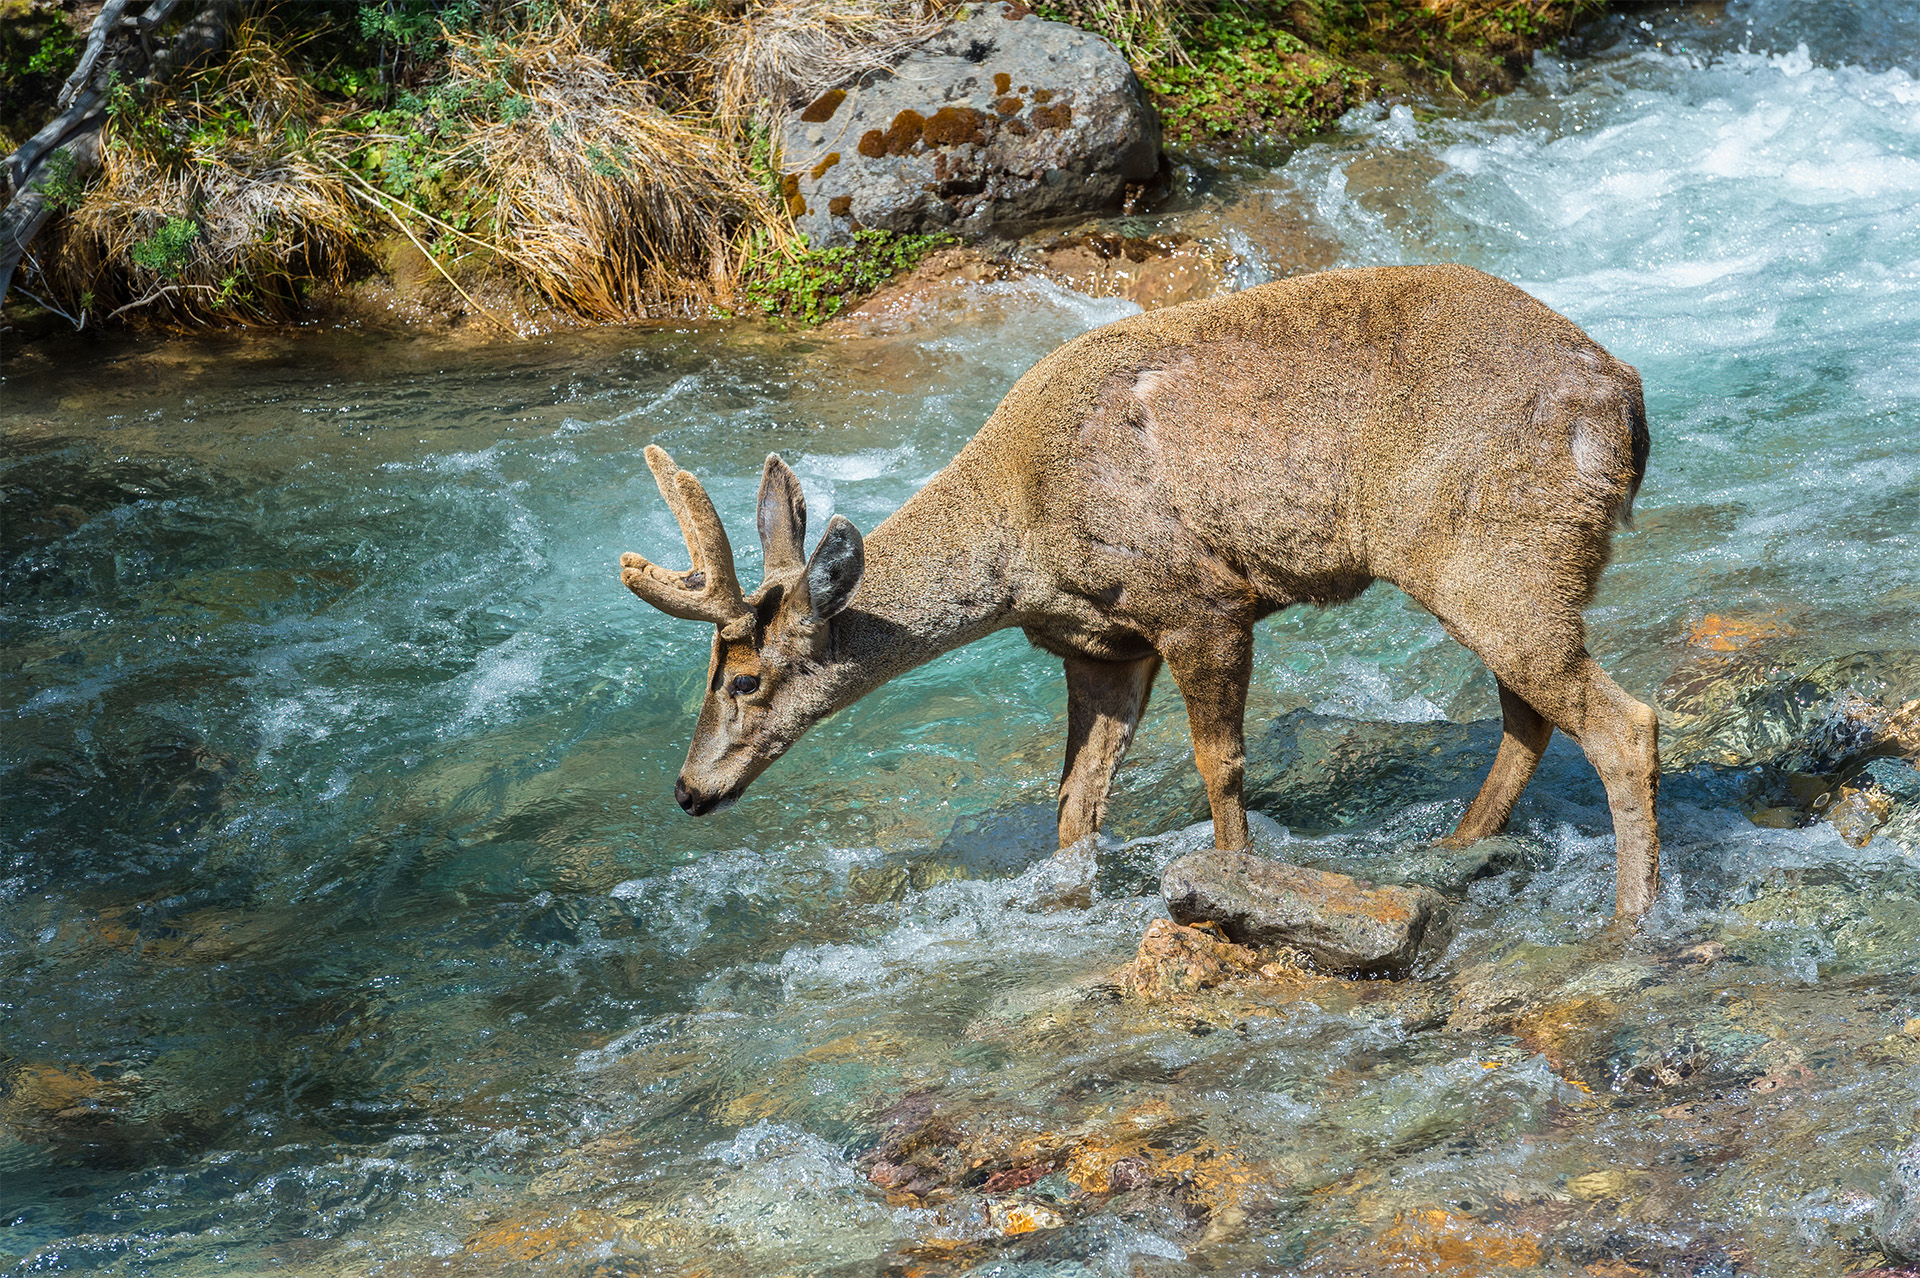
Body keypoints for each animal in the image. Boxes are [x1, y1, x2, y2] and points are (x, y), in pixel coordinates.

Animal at [620, 264, 1661, 917]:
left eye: (744, 680)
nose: (685, 789)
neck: (1021, 537)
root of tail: (1628, 399)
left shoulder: (1199, 600)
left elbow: (1219, 767)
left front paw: (1236, 879)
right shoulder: (1104, 646)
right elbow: (1075, 804)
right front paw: (1068, 902)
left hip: (1500, 552)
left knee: (1623, 723)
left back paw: (1631, 921)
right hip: (1511, 568)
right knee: (1531, 715)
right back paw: (1450, 854)